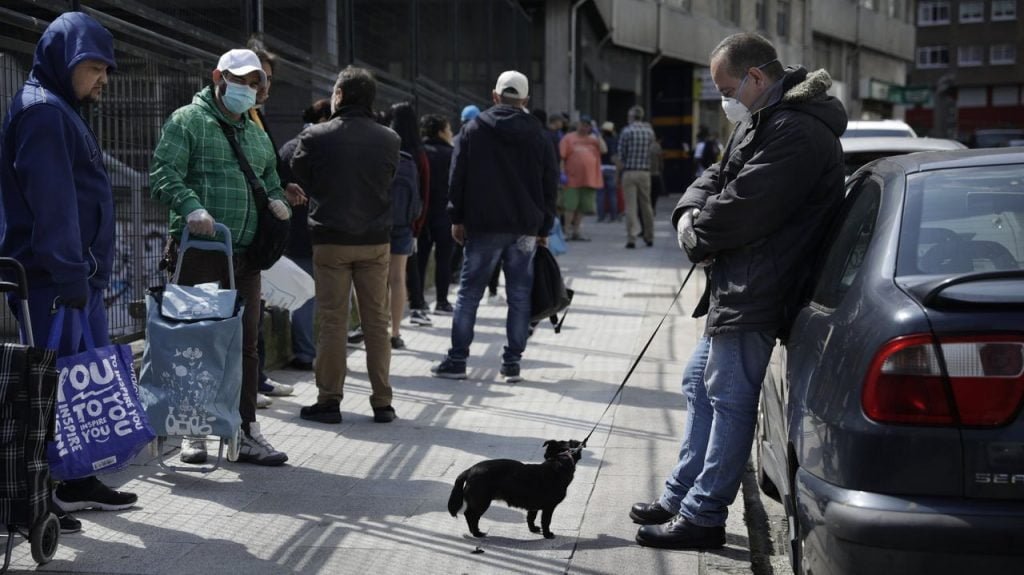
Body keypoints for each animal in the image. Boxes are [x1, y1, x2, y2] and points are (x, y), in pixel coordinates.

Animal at [446, 437, 581, 536]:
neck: (560, 460)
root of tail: (470, 470)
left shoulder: (533, 506)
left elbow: (531, 518)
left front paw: (533, 529)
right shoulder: (549, 507)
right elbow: (546, 521)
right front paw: (547, 534)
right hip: (481, 502)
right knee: (470, 515)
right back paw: (476, 533)